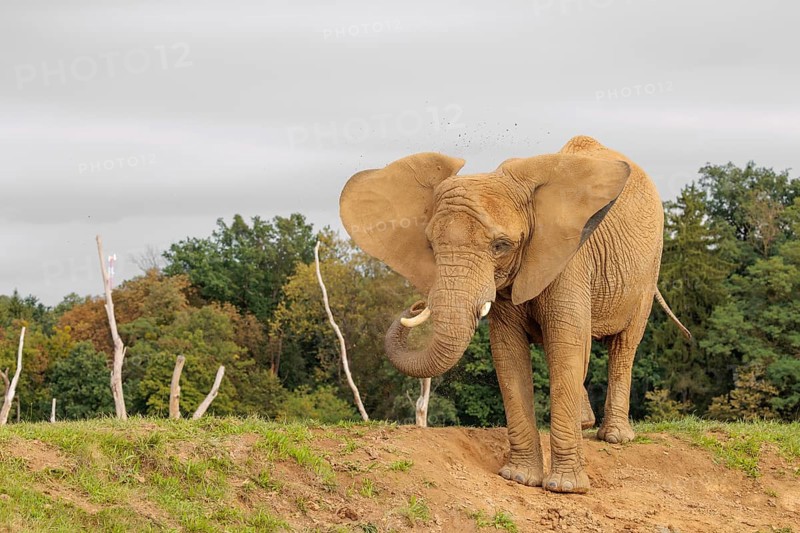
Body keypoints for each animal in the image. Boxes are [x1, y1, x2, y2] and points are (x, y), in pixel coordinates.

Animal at [339, 135, 689, 493]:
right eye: (431, 245)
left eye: (501, 246)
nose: (415, 305)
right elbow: (508, 354)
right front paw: (520, 478)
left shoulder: (568, 261)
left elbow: (565, 346)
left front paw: (565, 488)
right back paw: (584, 424)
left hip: (648, 270)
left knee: (624, 345)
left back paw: (615, 437)